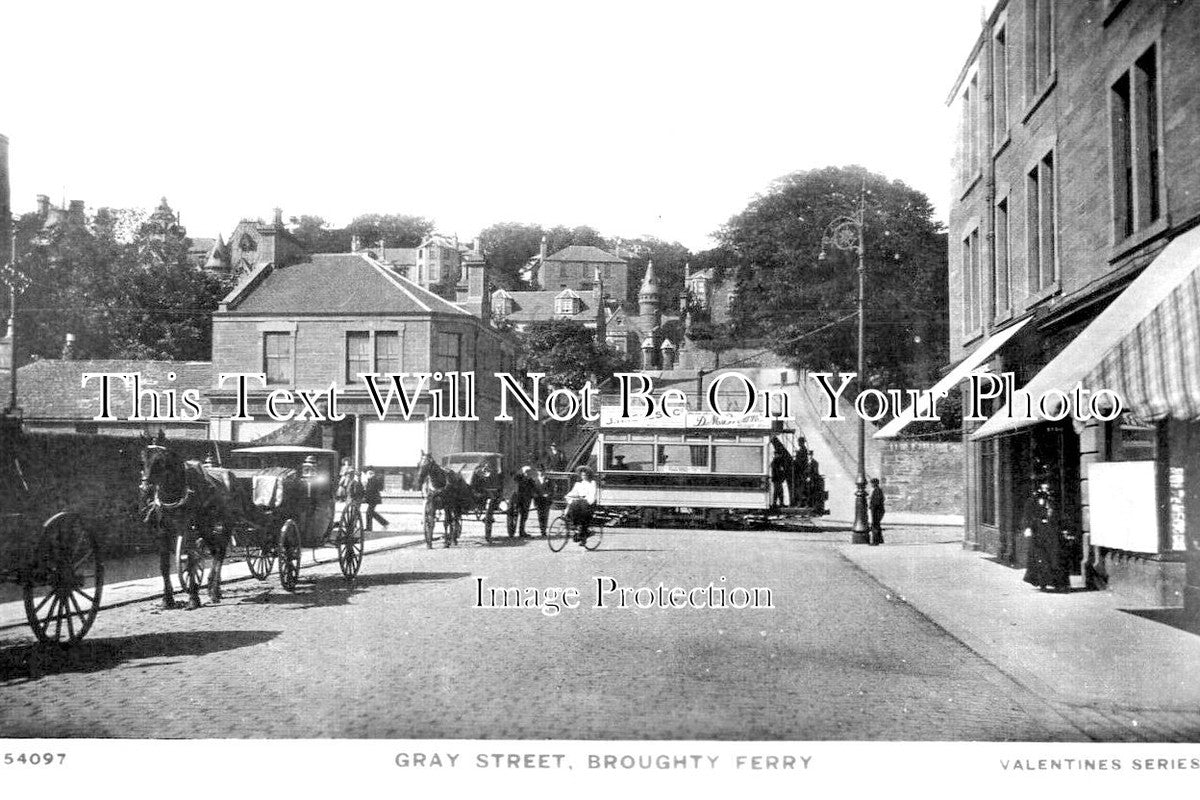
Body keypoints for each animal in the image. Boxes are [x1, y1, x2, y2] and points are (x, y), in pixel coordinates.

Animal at [138, 434, 234, 609]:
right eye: (142, 461)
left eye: (160, 461)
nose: (145, 488)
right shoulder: (162, 532)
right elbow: (164, 566)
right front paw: (167, 599)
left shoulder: (189, 531)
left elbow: (191, 562)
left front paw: (193, 598)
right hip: (207, 529)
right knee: (216, 551)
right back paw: (213, 589)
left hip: (223, 527)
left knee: (220, 553)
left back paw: (214, 590)